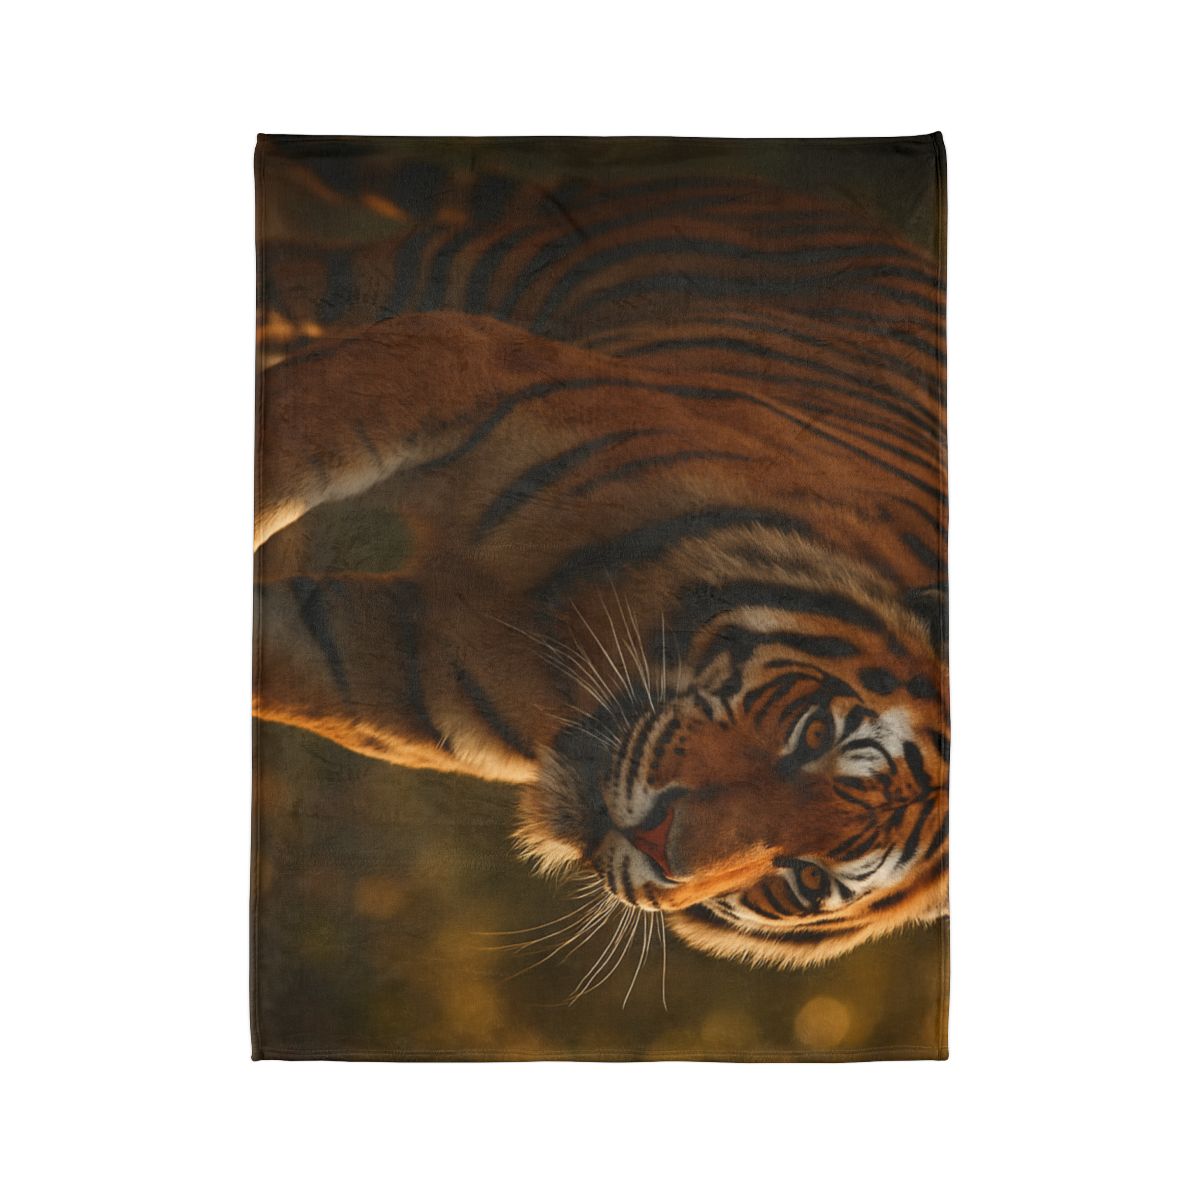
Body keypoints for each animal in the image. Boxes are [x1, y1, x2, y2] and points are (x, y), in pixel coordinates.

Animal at [253, 135, 948, 969]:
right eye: (816, 734)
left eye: (804, 879)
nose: (656, 843)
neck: (586, 631)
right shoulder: (464, 361)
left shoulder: (384, 661)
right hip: (445, 271)